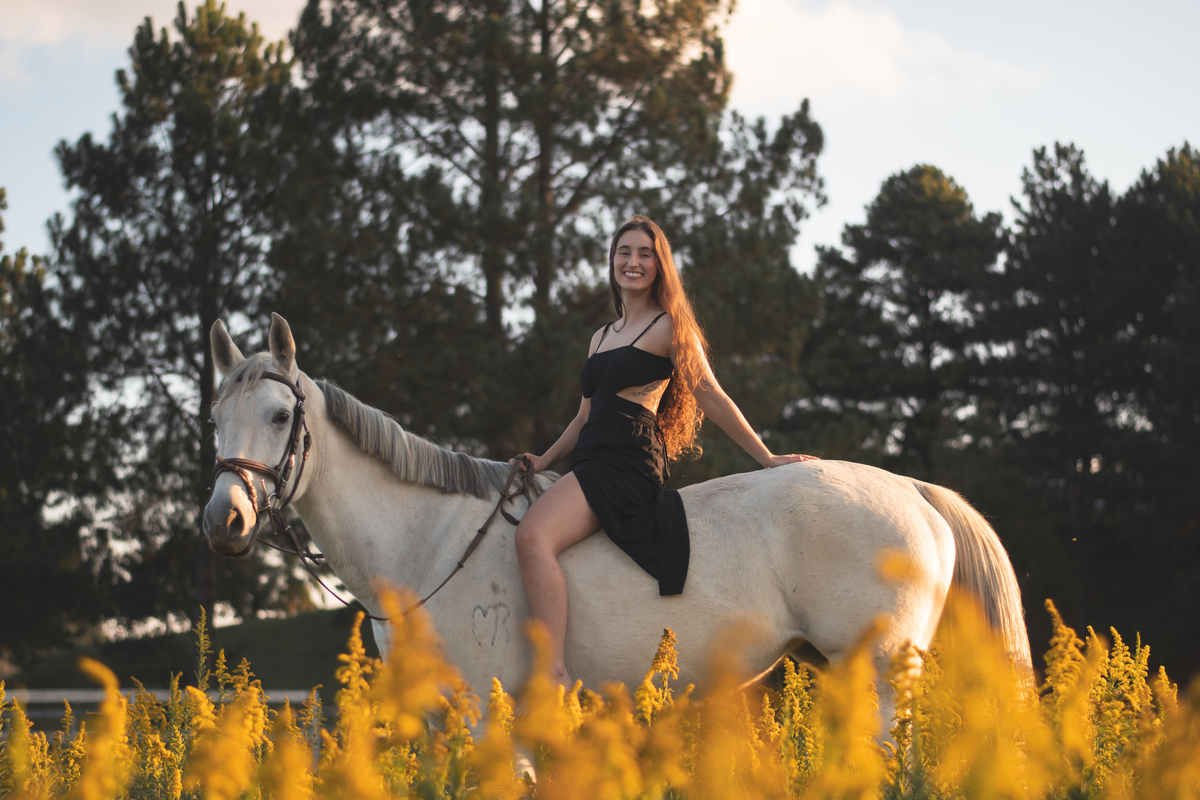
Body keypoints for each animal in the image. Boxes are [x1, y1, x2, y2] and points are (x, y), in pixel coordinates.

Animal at [203, 313, 1032, 722]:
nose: (224, 521)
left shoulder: (489, 715)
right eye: (214, 418)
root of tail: (913, 489)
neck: (426, 544)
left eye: (280, 416)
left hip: (883, 668)